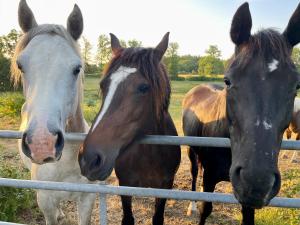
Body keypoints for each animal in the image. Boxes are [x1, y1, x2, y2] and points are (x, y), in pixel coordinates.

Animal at [182, 1, 300, 225]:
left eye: (296, 86)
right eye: (227, 80)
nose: (257, 182)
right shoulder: (210, 177)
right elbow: (205, 209)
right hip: (192, 151)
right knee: (194, 173)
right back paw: (190, 206)